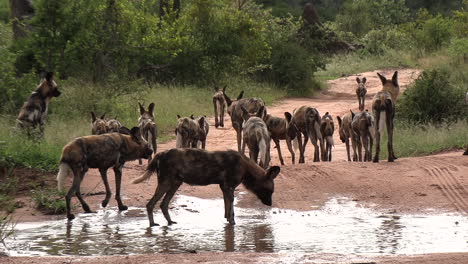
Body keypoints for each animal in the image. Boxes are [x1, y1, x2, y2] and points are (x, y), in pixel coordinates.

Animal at [132, 148, 280, 227]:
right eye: (270, 191)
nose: (270, 204)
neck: (246, 167)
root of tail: (161, 153)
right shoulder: (229, 187)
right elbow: (232, 209)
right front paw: (232, 222)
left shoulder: (225, 188)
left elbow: (228, 208)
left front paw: (228, 220)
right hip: (166, 183)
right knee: (150, 204)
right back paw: (152, 224)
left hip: (175, 184)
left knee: (163, 204)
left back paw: (170, 222)